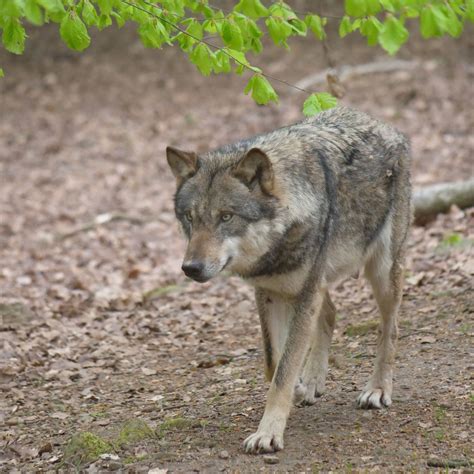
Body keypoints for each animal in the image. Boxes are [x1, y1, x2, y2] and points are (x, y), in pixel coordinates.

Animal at [167, 105, 412, 454]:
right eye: (190, 218)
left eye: (226, 217)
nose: (191, 268)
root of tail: (389, 127)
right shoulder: (269, 292)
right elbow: (275, 363)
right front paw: (297, 387)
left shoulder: (305, 292)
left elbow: (283, 371)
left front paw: (268, 434)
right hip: (316, 283)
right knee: (331, 312)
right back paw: (312, 383)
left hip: (381, 273)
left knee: (390, 329)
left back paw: (378, 389)